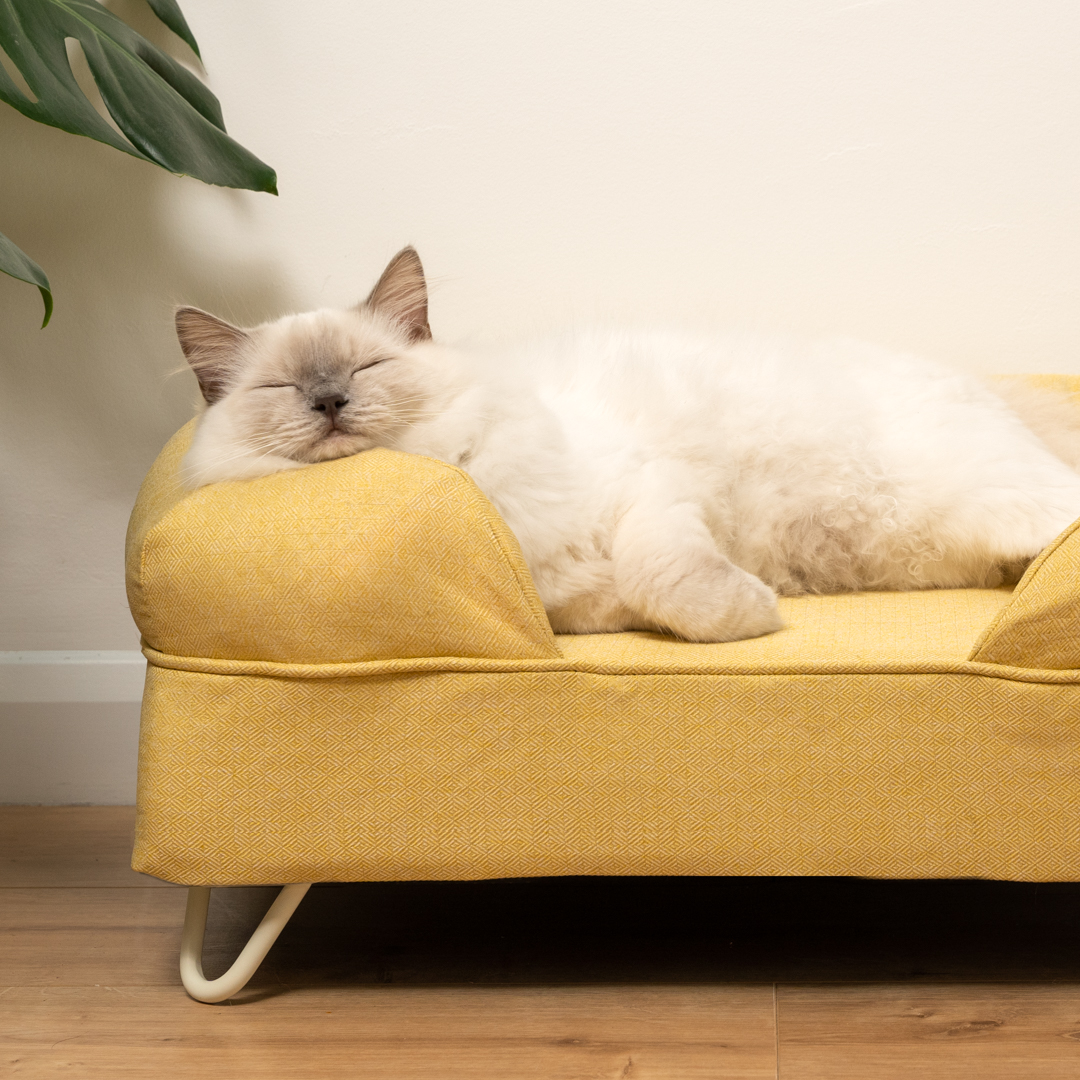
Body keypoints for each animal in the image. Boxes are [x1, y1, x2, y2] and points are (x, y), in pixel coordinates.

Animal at [172, 247, 1080, 639]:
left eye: (364, 368)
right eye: (284, 390)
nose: (330, 402)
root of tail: (982, 382)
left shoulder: (651, 490)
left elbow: (668, 578)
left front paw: (754, 615)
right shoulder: (573, 603)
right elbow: (626, 601)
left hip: (999, 499)